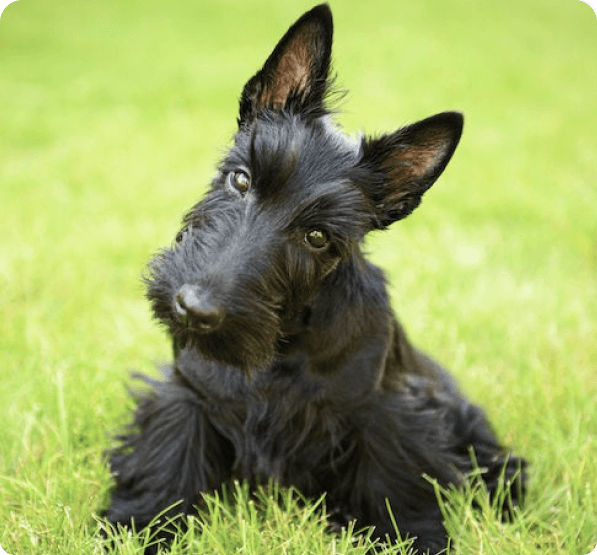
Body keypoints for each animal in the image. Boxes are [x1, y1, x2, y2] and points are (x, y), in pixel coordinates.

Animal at [103, 3, 528, 552]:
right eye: (241, 178)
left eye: (318, 237)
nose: (194, 308)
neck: (281, 345)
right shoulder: (187, 397)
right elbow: (166, 466)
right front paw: (137, 527)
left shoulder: (386, 414)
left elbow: (395, 486)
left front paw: (414, 537)